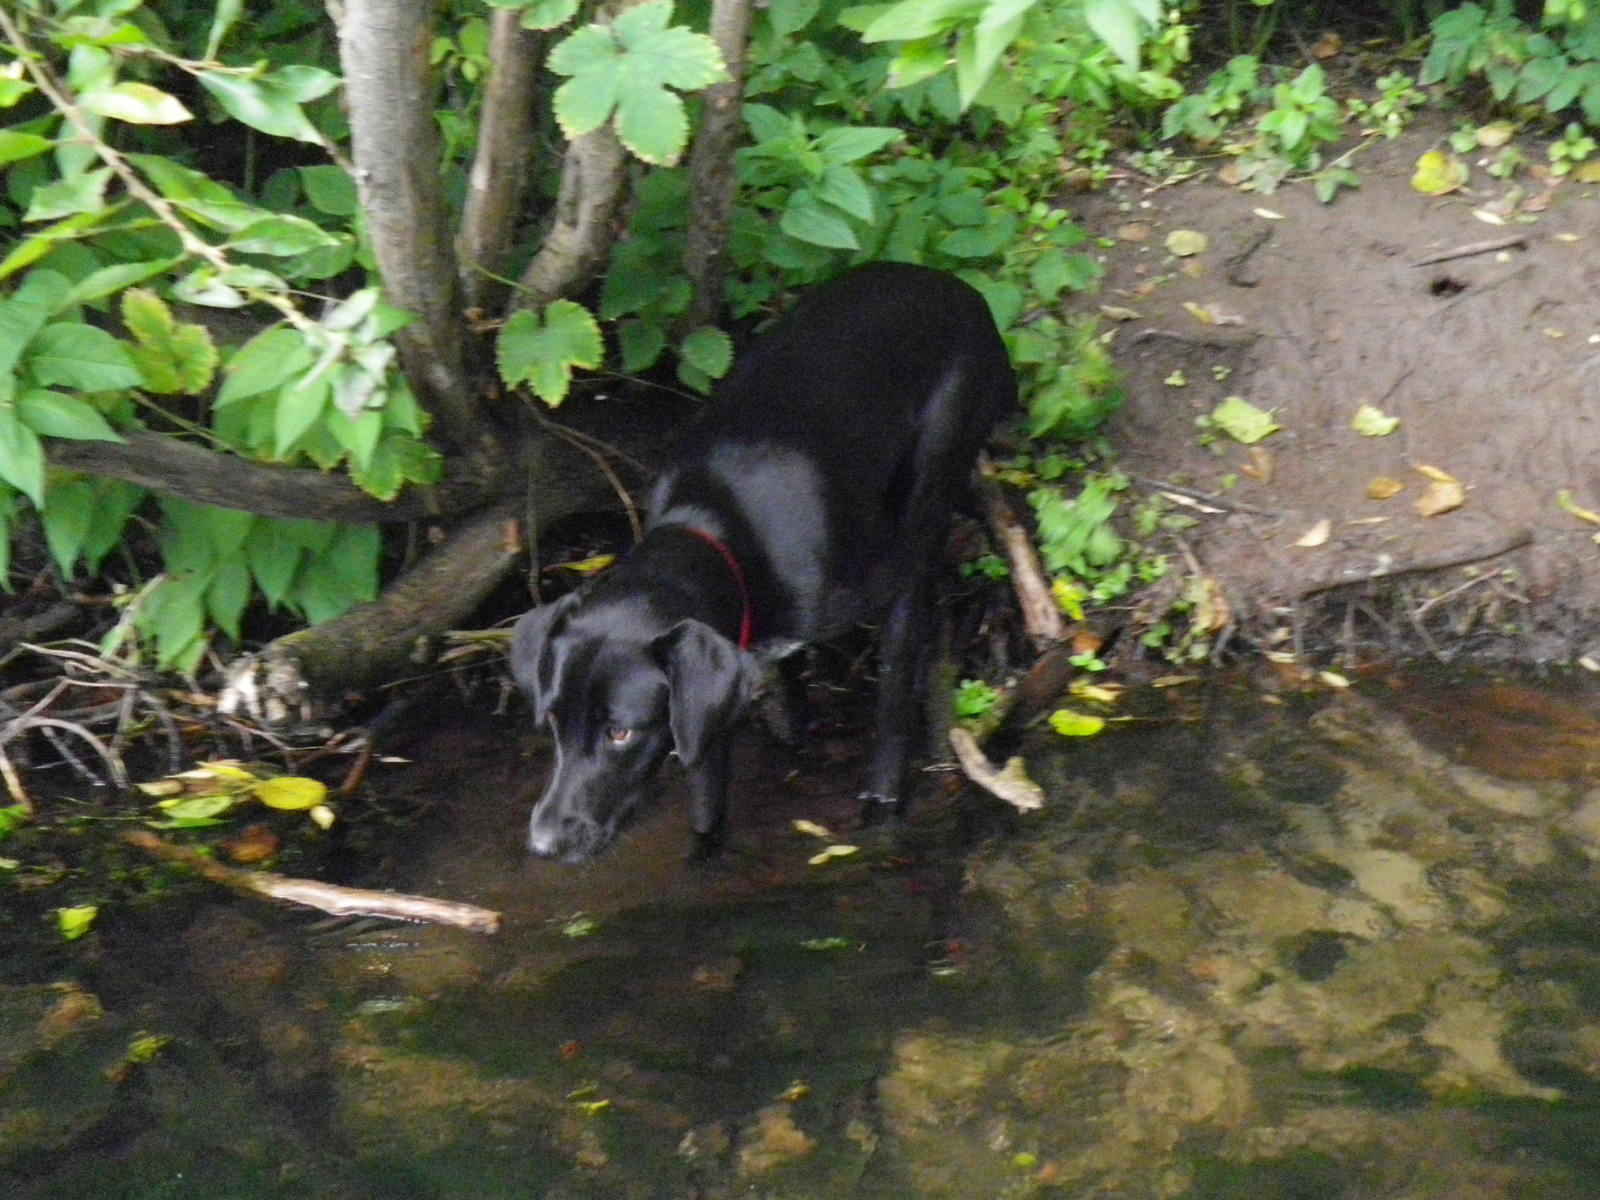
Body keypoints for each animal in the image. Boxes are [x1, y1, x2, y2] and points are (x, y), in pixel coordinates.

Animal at [508, 264, 1011, 864]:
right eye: (553, 720)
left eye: (620, 734)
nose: (543, 844)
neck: (717, 524)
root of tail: (957, 287)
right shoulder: (710, 692)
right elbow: (710, 798)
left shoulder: (892, 587)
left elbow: (889, 708)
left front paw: (882, 805)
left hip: (932, 479)